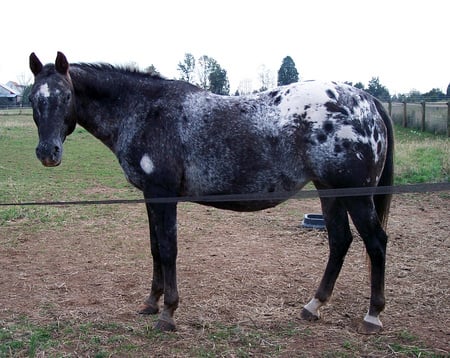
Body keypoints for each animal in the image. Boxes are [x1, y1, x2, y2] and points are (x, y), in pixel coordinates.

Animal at [29, 51, 394, 334]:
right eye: (33, 99)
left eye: (65, 97)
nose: (48, 153)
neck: (145, 111)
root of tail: (367, 101)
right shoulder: (150, 196)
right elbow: (154, 248)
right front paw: (151, 302)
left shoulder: (163, 195)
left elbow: (168, 250)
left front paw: (168, 313)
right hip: (330, 191)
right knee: (339, 241)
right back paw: (313, 305)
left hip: (355, 195)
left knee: (375, 243)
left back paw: (372, 316)